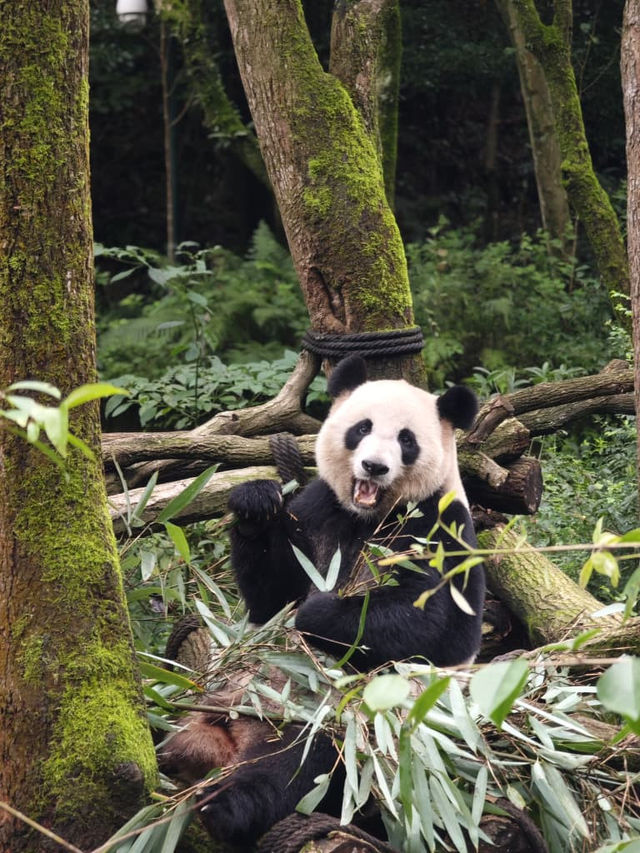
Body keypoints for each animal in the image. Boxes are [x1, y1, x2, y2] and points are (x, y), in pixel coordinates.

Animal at [159, 355, 485, 846]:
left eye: (406, 440)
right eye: (362, 428)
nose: (373, 466)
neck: (369, 515)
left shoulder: (439, 527)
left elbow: (433, 625)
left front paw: (318, 613)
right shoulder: (319, 511)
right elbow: (272, 600)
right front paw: (255, 504)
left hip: (343, 726)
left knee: (302, 767)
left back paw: (224, 806)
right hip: (213, 701)